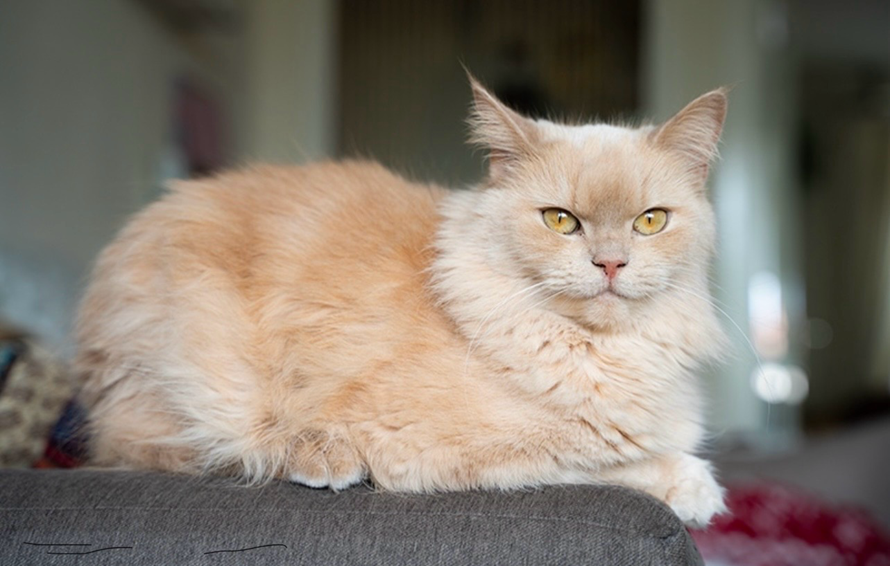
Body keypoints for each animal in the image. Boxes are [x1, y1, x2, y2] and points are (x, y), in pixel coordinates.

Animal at [74, 76, 728, 528]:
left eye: (650, 221)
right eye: (560, 221)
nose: (611, 264)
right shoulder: (443, 451)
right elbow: (607, 463)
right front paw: (696, 491)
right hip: (208, 382)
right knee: (175, 447)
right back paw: (325, 461)